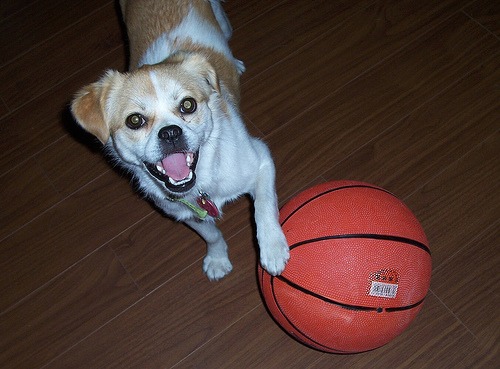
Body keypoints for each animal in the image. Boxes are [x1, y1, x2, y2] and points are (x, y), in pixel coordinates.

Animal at [70, 0, 290, 278]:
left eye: (188, 105)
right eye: (134, 120)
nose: (170, 133)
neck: (202, 184)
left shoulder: (261, 161)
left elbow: (264, 206)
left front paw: (273, 249)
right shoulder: (187, 215)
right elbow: (212, 235)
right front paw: (217, 259)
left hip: (222, 21)